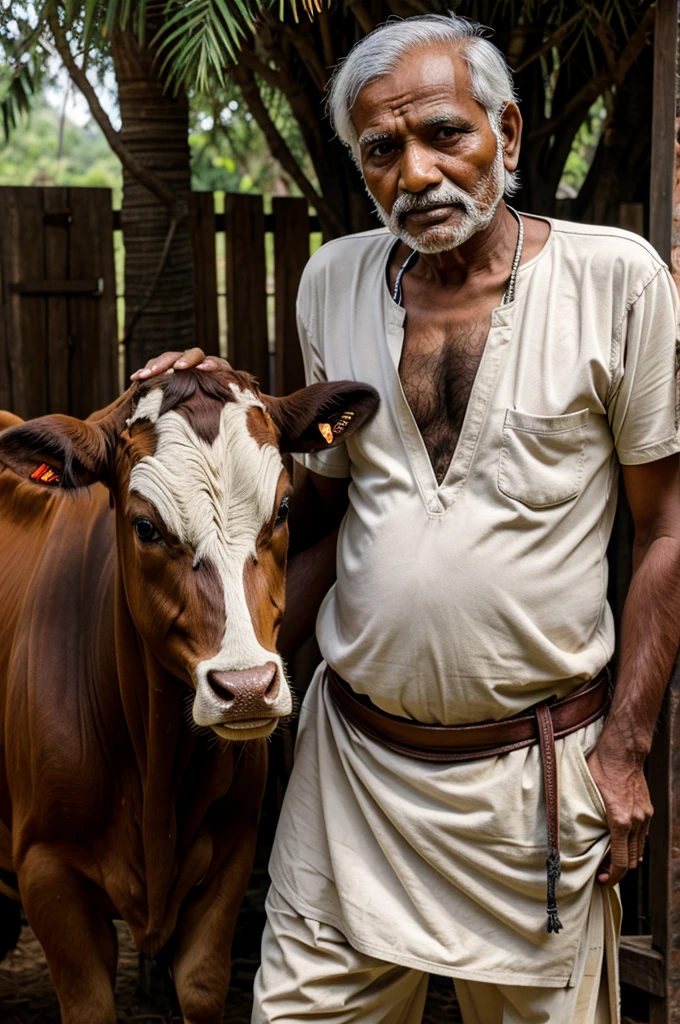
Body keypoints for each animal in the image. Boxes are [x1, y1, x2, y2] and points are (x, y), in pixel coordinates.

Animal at [0, 368, 376, 1024]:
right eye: (146, 527)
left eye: (283, 509)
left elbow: (200, 986)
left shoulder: (230, 857)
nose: (247, 688)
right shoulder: (47, 874)